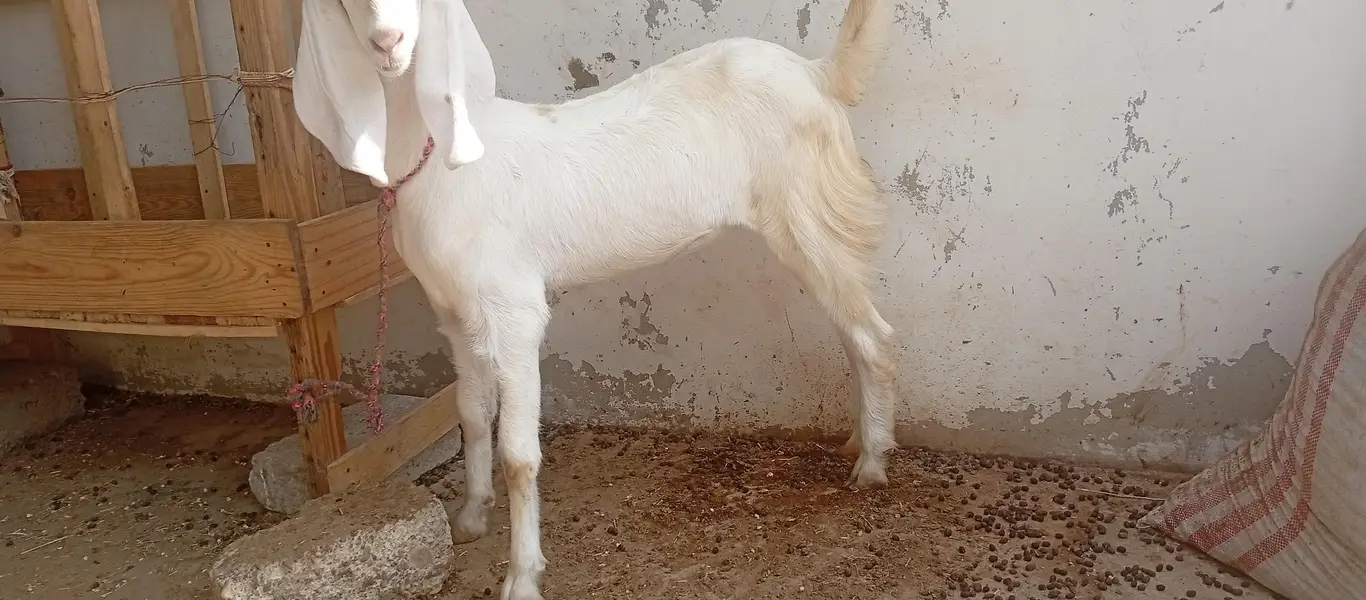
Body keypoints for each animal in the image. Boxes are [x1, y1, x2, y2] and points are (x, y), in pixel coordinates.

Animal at [294, 0, 897, 597]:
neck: (443, 159)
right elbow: (470, 415)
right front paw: (469, 517)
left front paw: (522, 576)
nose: (388, 43)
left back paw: (872, 463)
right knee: (852, 332)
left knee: (873, 337)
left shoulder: (514, 311)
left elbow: (519, 456)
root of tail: (817, 73)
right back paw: (859, 440)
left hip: (809, 213)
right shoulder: (454, 312)